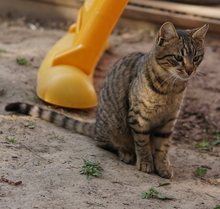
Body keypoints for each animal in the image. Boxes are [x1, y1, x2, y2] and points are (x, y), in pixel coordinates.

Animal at [4, 22, 208, 178]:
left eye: (197, 58)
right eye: (178, 57)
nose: (190, 70)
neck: (171, 88)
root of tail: (96, 125)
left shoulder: (168, 121)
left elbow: (163, 148)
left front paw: (163, 166)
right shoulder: (139, 118)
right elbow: (142, 143)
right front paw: (145, 162)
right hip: (114, 127)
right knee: (105, 143)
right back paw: (126, 152)